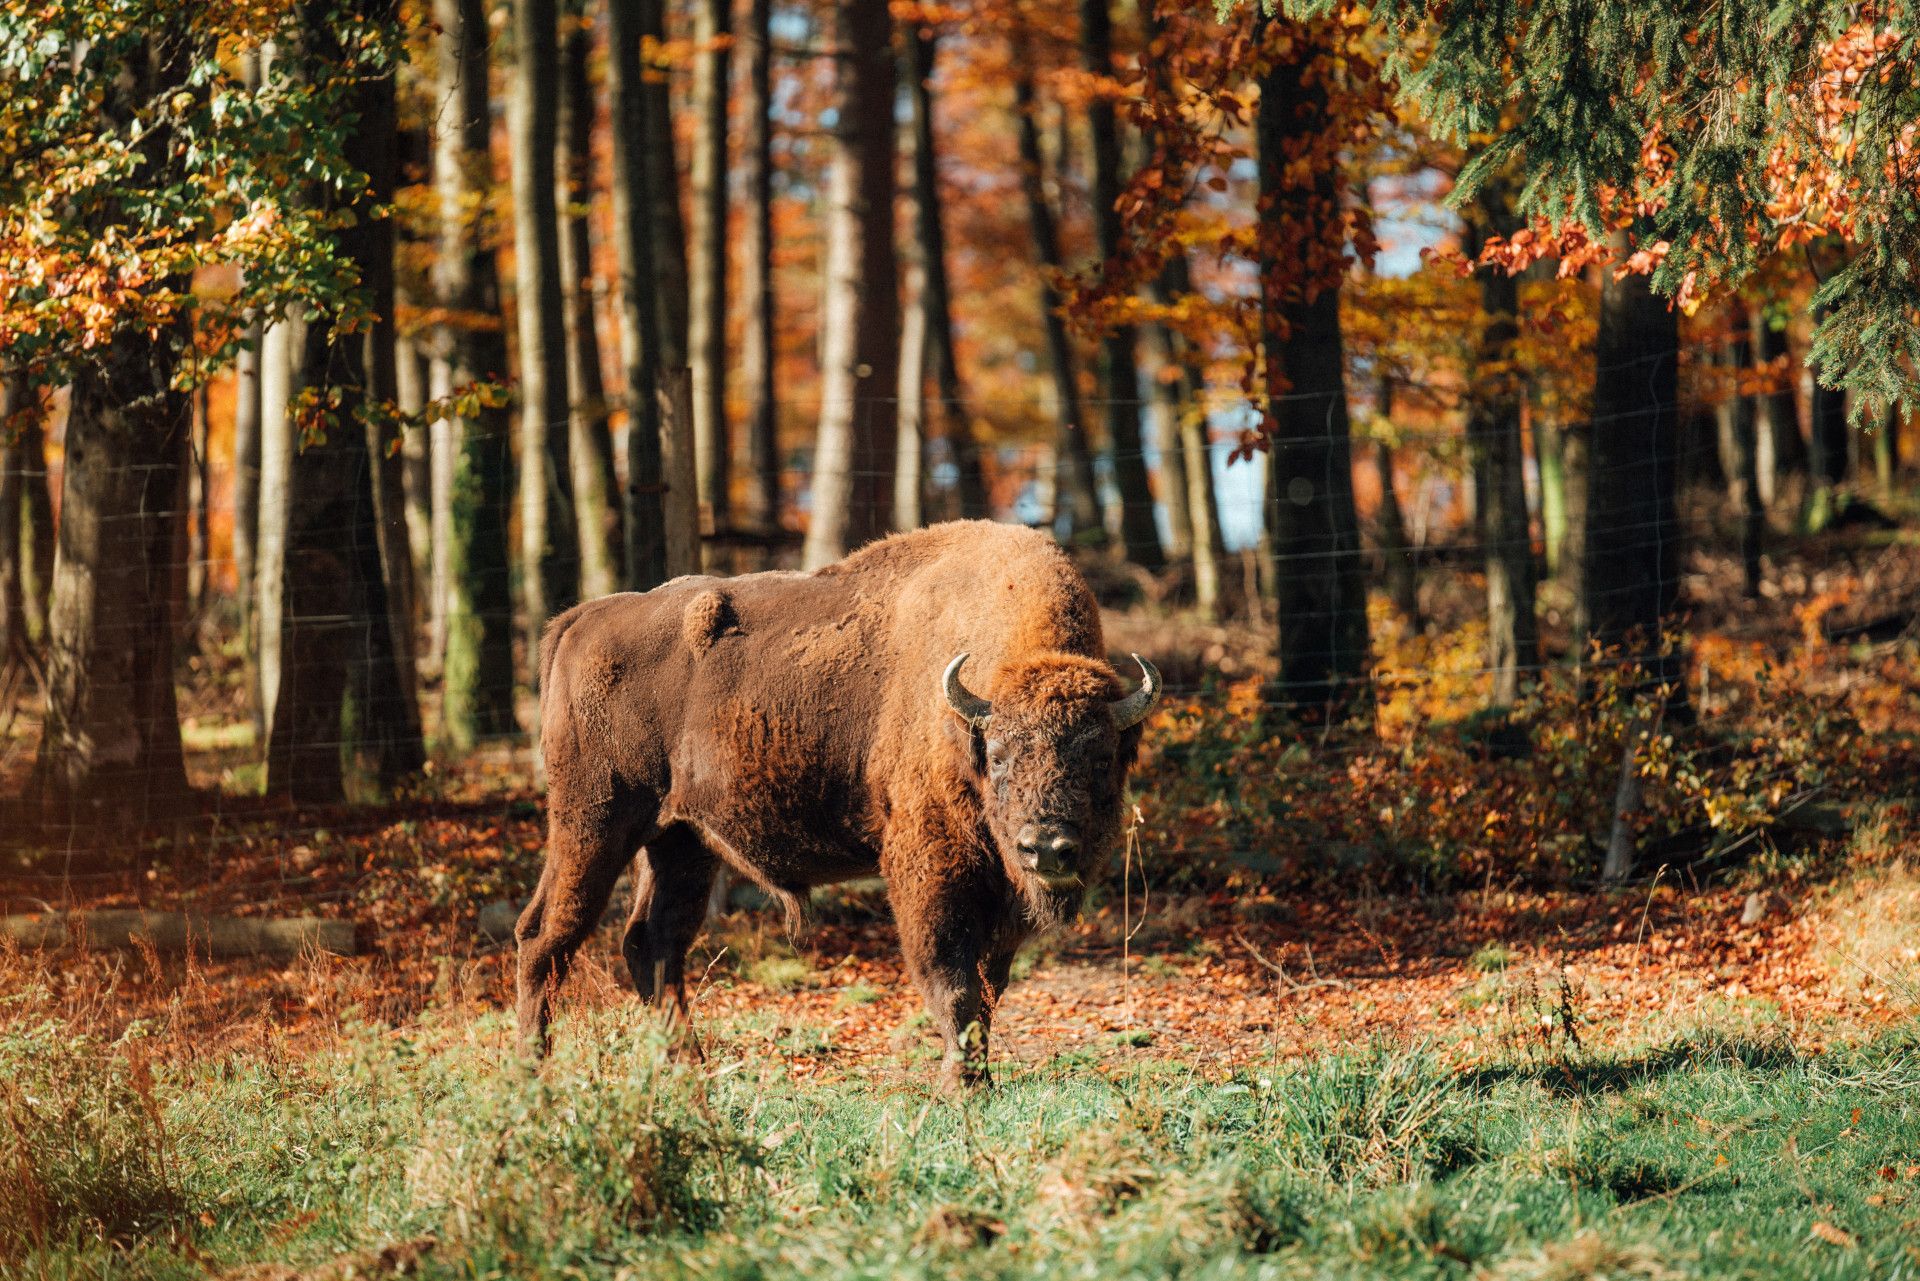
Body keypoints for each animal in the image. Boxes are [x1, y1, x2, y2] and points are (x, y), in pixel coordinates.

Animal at [515, 520, 1159, 1088]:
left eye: (1102, 756)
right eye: (998, 755)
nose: (1045, 847)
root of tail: (579, 620)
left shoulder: (1001, 898)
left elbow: (988, 989)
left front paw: (978, 1081)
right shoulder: (931, 869)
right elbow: (954, 984)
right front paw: (963, 1089)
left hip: (681, 842)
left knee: (653, 945)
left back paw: (689, 1073)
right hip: (593, 823)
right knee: (544, 938)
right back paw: (533, 1074)